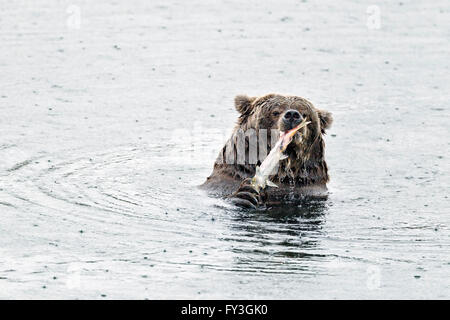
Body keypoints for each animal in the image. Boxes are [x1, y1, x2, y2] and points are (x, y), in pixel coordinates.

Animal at [202, 93, 332, 208]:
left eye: (305, 114)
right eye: (275, 112)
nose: (292, 114)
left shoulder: (308, 190)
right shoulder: (225, 183)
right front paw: (245, 194)